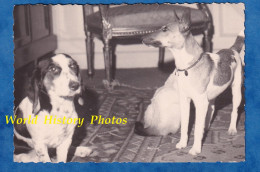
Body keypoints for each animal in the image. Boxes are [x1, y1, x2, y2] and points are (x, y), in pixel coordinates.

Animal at [141, 10, 245, 155]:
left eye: (165, 29)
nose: (141, 38)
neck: (187, 68)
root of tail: (232, 50)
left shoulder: (199, 102)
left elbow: (196, 129)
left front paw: (195, 149)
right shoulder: (185, 101)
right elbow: (185, 126)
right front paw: (182, 144)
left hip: (236, 91)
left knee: (234, 111)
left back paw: (231, 130)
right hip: (211, 97)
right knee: (211, 109)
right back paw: (206, 127)